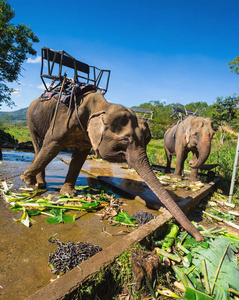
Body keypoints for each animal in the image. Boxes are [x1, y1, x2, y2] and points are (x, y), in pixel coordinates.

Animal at [21, 91, 204, 241]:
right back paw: (35, 182)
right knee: (39, 145)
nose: (200, 238)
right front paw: (26, 180)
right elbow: (52, 145)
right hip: (30, 118)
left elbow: (79, 156)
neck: (103, 105)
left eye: (146, 140)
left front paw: (69, 193)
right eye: (125, 140)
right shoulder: (64, 120)